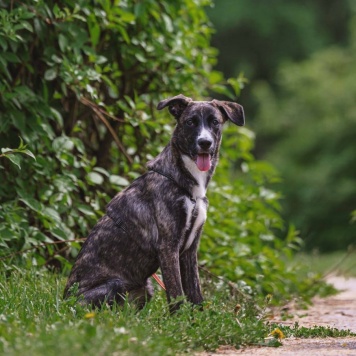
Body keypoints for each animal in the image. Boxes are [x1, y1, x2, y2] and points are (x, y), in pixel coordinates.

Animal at [63, 94, 245, 312]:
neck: (186, 182)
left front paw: (200, 318)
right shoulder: (168, 246)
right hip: (113, 285)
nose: (205, 142)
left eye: (215, 122)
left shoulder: (190, 248)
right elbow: (176, 292)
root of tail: (65, 300)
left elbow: (195, 291)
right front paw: (180, 318)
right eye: (190, 122)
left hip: (146, 287)